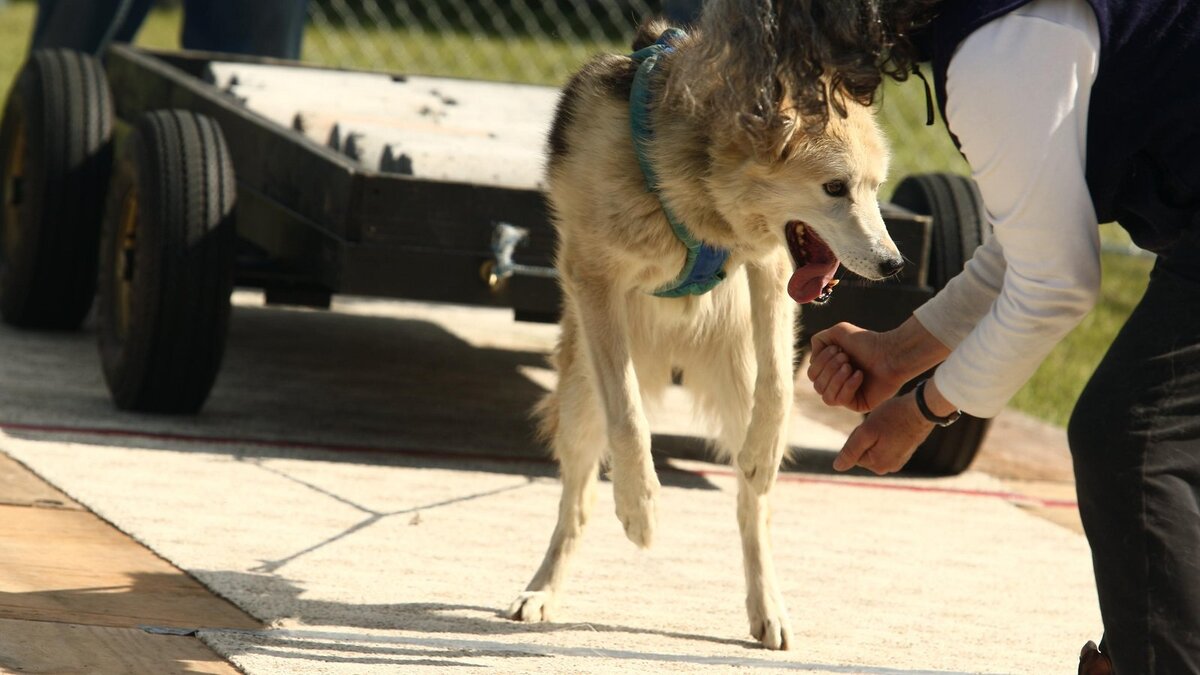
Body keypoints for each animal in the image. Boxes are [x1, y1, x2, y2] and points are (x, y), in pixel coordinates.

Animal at [504, 2, 902, 648]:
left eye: (874, 190)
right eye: (835, 188)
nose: (895, 266)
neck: (693, 194)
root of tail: (674, 354)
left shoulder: (771, 272)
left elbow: (777, 388)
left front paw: (763, 448)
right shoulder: (594, 280)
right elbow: (630, 419)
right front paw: (641, 509)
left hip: (730, 385)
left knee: (751, 510)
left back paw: (768, 609)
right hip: (579, 398)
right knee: (577, 501)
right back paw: (542, 590)